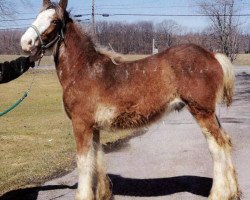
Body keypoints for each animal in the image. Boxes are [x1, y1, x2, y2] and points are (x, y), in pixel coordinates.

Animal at [21, 0, 240, 200]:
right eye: (37, 16)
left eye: (54, 21)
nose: (26, 42)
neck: (84, 69)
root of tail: (212, 55)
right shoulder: (94, 127)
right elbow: (97, 159)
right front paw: (103, 194)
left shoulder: (81, 124)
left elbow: (83, 162)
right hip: (210, 113)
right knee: (226, 141)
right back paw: (234, 192)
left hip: (201, 111)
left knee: (217, 146)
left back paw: (219, 194)